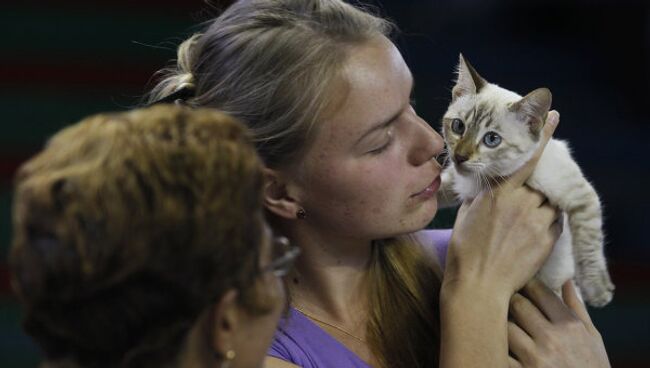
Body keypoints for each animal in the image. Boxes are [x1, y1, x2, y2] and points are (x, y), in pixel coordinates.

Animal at [440, 54, 612, 308]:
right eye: (458, 126)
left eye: (491, 140)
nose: (460, 156)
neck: (485, 180)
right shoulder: (458, 177)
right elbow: (435, 184)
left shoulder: (580, 197)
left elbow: (589, 245)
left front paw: (597, 291)